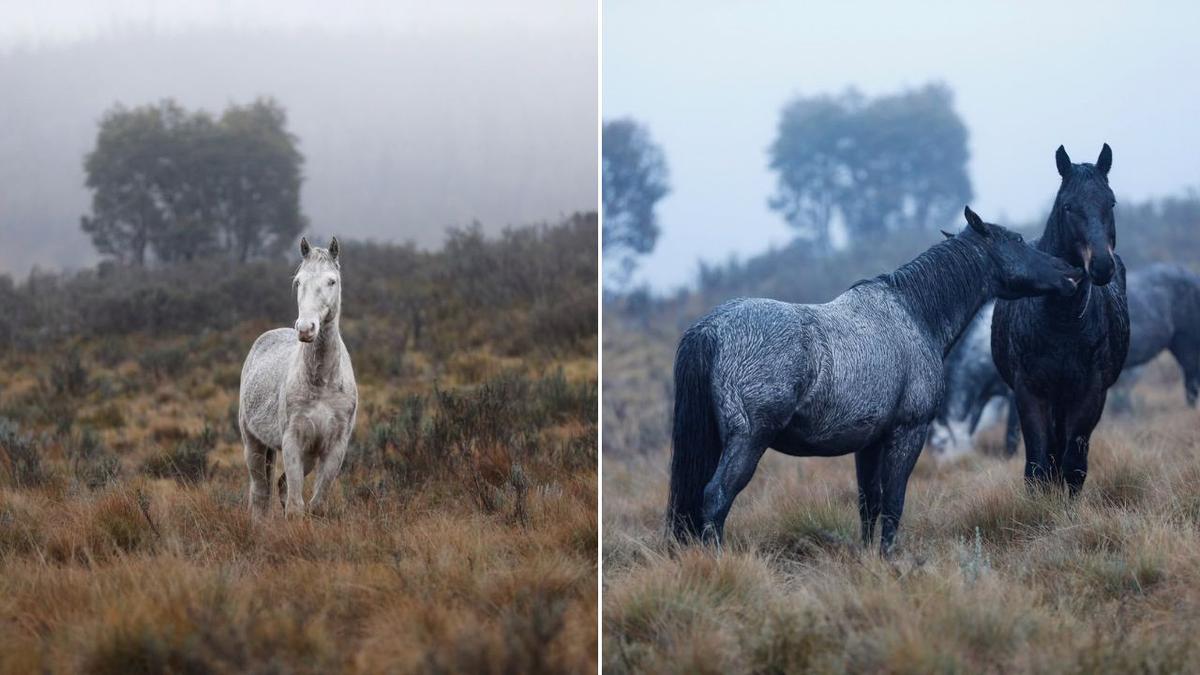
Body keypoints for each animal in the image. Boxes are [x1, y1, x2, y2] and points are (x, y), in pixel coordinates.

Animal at [239, 237, 358, 517]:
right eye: (298, 282)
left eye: (332, 281)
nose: (305, 329)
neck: (322, 383)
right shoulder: (293, 441)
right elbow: (295, 506)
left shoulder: (334, 447)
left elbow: (317, 505)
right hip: (253, 443)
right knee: (260, 494)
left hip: (309, 456)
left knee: (280, 485)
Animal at [667, 207, 1082, 554]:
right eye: (1016, 240)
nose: (1070, 273)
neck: (914, 313)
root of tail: (711, 329)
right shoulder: (908, 433)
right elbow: (894, 501)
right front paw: (888, 557)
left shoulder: (868, 443)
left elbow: (869, 503)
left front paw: (867, 558)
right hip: (748, 442)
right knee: (715, 497)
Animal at [992, 144, 1129, 495]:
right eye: (1068, 206)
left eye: (1111, 202)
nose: (1102, 266)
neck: (1061, 321)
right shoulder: (1029, 390)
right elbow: (1038, 463)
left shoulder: (1089, 392)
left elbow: (1074, 464)